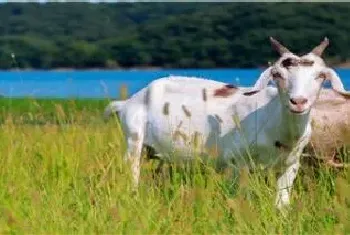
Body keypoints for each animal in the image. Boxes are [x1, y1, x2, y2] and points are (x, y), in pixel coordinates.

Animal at [106, 37, 350, 208]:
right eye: (278, 74)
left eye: (320, 76)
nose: (298, 102)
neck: (271, 118)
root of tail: (130, 101)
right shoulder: (236, 163)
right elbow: (237, 196)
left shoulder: (291, 165)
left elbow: (282, 203)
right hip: (133, 140)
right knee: (133, 173)